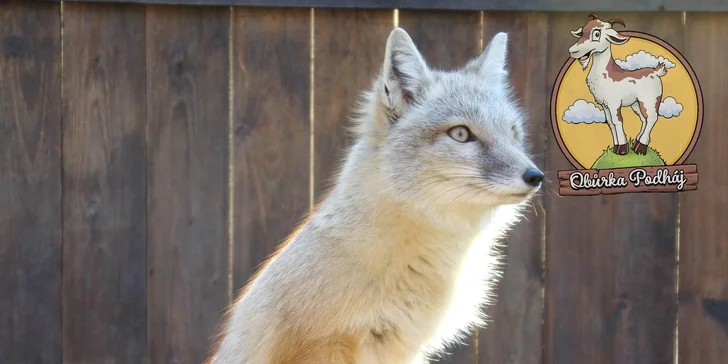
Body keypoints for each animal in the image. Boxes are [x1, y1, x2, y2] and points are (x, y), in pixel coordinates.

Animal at [568, 13, 664, 154]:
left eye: (597, 33)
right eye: (582, 32)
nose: (572, 51)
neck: (608, 74)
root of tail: (655, 72)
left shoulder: (614, 103)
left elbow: (617, 121)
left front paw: (622, 149)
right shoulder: (604, 104)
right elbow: (610, 123)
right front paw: (616, 147)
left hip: (649, 101)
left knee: (652, 118)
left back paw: (641, 147)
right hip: (636, 104)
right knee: (644, 119)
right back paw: (636, 144)